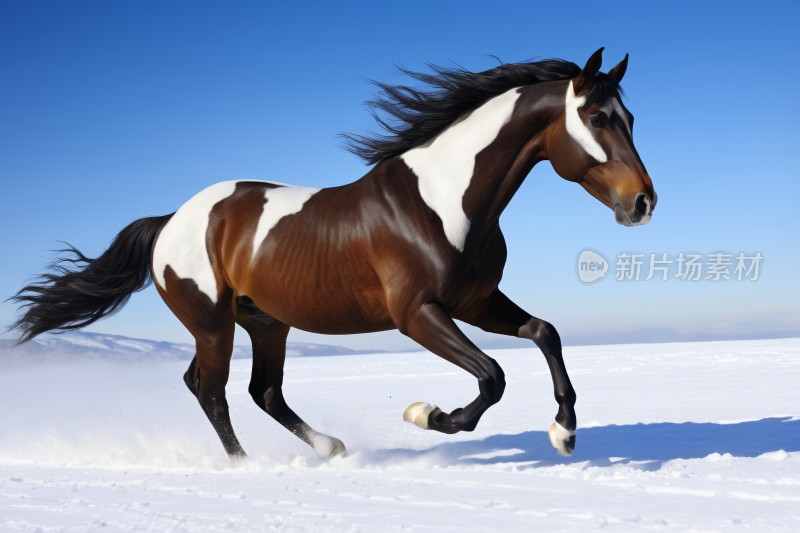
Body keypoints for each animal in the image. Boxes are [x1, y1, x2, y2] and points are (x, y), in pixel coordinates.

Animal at [7, 47, 656, 460]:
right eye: (597, 117)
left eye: (630, 116)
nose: (644, 202)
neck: (444, 199)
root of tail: (170, 222)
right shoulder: (417, 313)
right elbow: (492, 376)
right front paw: (426, 415)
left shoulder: (476, 301)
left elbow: (545, 333)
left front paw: (564, 434)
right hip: (212, 321)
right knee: (210, 389)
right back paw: (247, 466)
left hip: (266, 322)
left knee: (262, 391)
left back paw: (331, 447)